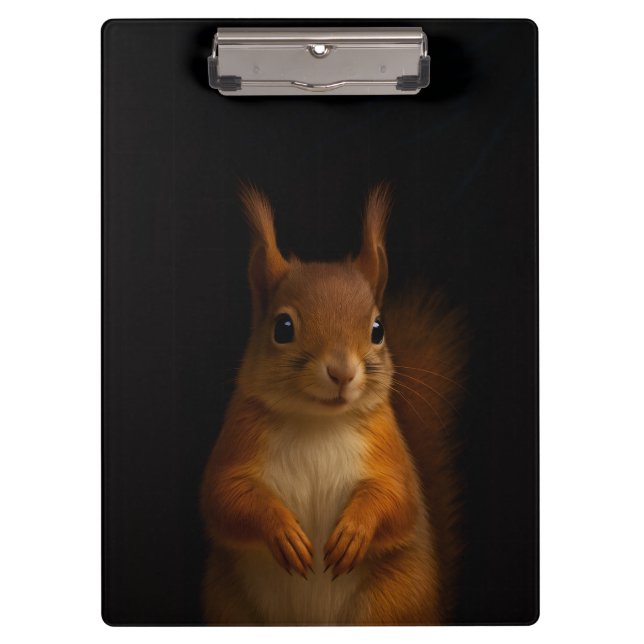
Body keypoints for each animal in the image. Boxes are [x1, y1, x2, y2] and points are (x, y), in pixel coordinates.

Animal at [200, 184, 466, 625]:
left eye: (378, 329)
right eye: (283, 327)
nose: (342, 372)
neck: (317, 422)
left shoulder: (388, 448)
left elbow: (398, 499)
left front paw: (354, 532)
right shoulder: (239, 437)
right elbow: (225, 496)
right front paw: (282, 531)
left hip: (388, 604)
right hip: (233, 607)